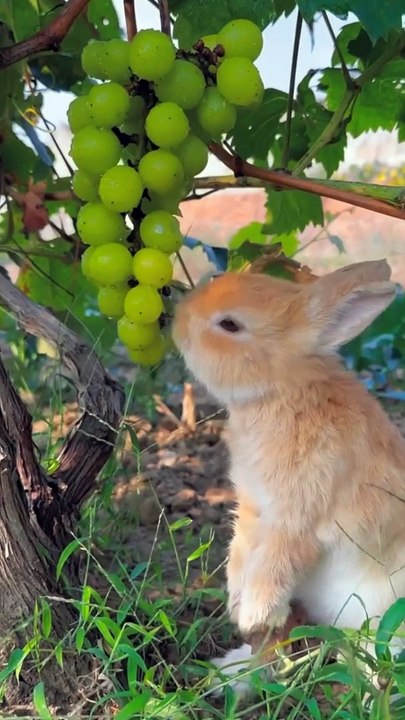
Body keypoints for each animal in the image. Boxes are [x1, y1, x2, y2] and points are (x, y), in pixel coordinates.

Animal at [172, 260, 405, 693]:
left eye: (229, 325)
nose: (177, 320)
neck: (280, 394)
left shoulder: (298, 519)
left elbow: (274, 564)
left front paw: (253, 614)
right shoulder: (252, 510)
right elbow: (240, 556)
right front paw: (236, 605)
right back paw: (227, 675)